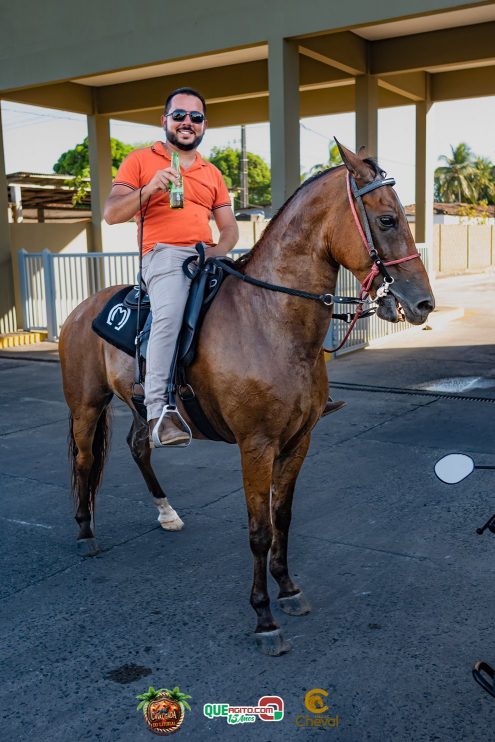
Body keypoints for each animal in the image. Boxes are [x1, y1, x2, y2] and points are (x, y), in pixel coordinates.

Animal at [60, 144, 436, 656]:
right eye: (387, 219)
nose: (423, 304)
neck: (271, 319)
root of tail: (81, 310)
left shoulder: (298, 443)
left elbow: (283, 518)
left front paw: (288, 589)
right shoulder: (256, 446)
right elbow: (259, 531)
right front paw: (263, 617)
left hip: (141, 407)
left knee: (139, 447)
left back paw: (166, 512)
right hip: (86, 406)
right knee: (83, 461)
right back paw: (84, 531)